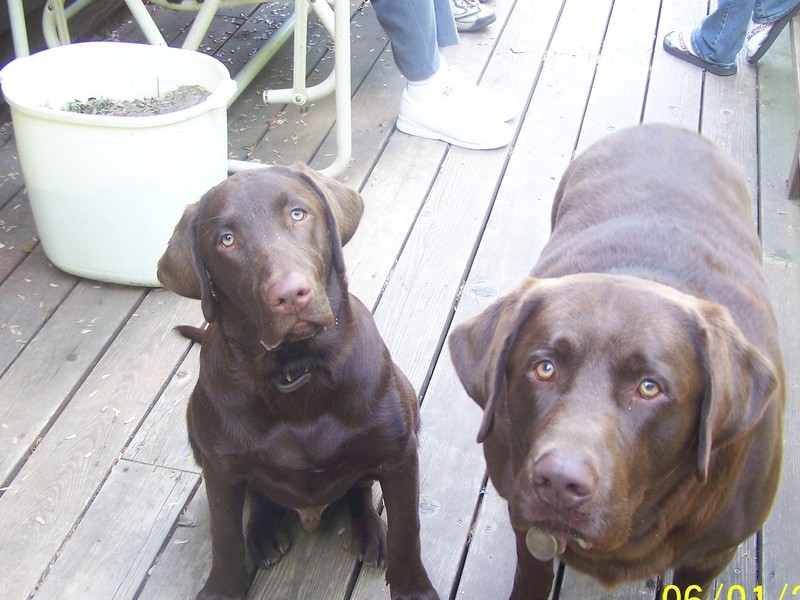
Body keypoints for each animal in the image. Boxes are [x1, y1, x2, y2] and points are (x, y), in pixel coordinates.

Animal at [158, 164, 438, 600]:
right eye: (226, 239)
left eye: (297, 214)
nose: (291, 296)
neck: (295, 371)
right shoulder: (221, 470)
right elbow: (224, 538)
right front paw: (223, 586)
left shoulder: (398, 455)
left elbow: (408, 532)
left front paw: (413, 588)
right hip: (196, 430)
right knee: (259, 496)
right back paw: (262, 533)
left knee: (359, 488)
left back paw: (368, 530)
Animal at [446, 124, 784, 596]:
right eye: (544, 368)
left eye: (649, 388)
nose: (559, 481)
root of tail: (667, 128)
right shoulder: (526, 525)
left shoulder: (712, 555)